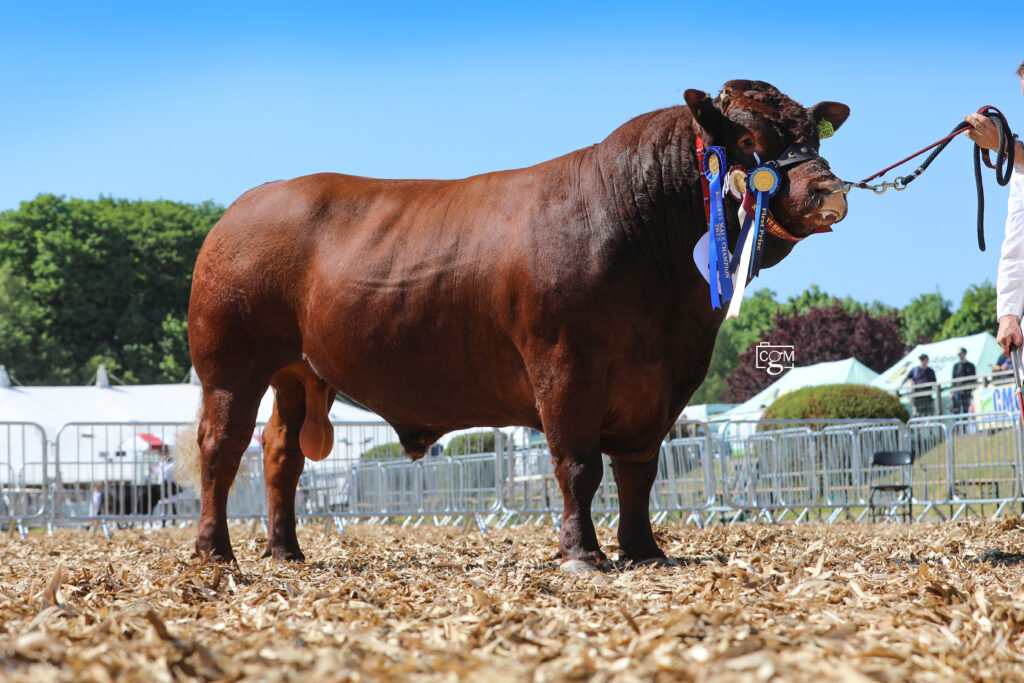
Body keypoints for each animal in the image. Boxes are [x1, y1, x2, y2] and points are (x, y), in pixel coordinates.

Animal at [181, 79, 849, 569]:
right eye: (748, 136)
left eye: (811, 134)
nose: (829, 190)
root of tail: (244, 206)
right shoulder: (564, 363)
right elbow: (579, 466)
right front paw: (582, 555)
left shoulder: (662, 382)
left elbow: (638, 472)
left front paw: (644, 552)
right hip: (230, 365)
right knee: (222, 447)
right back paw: (215, 552)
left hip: (296, 372)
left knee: (280, 453)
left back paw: (285, 551)